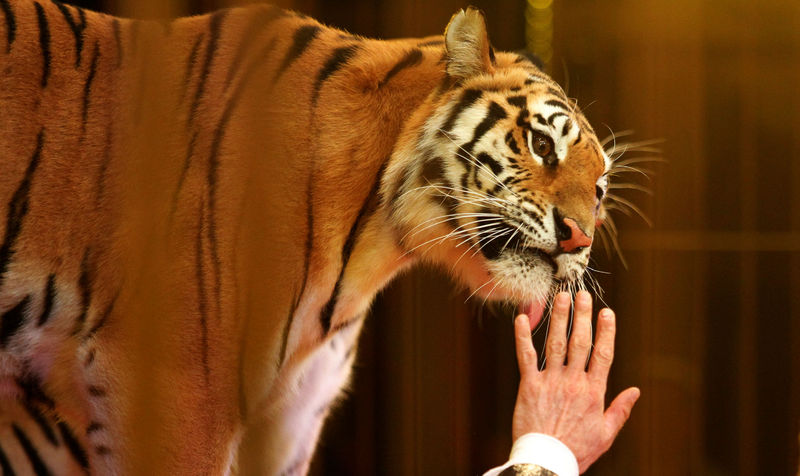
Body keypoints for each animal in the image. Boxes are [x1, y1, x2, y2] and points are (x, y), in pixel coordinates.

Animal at [0, 0, 612, 474]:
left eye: (600, 189)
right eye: (541, 143)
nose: (578, 239)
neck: (371, 246)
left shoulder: (286, 424)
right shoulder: (173, 395)